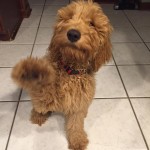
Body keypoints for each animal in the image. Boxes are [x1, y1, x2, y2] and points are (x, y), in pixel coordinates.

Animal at [11, 0, 112, 149]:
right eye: (69, 17)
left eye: (92, 23)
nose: (73, 34)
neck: (70, 71)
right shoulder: (45, 98)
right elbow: (41, 92)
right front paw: (32, 70)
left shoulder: (77, 103)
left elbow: (76, 123)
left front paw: (77, 140)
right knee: (37, 107)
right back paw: (37, 115)